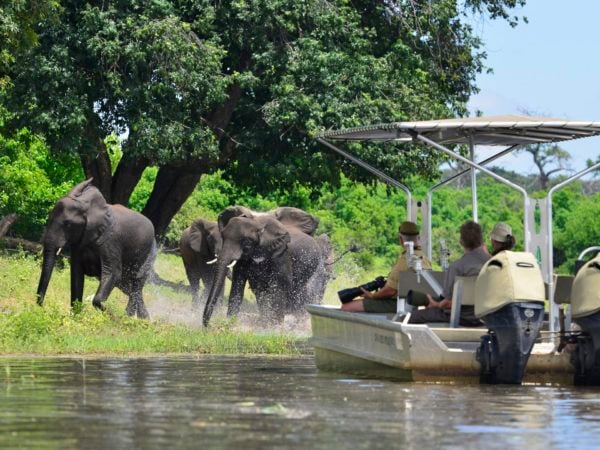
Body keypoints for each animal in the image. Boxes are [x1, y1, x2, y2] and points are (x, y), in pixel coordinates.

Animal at [36, 178, 156, 318]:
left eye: (68, 224)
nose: (42, 307)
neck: (88, 207)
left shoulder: (111, 241)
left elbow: (113, 273)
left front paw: (111, 315)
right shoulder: (79, 242)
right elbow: (76, 274)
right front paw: (77, 317)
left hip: (149, 254)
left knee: (136, 283)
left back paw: (129, 317)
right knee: (129, 287)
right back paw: (144, 319)